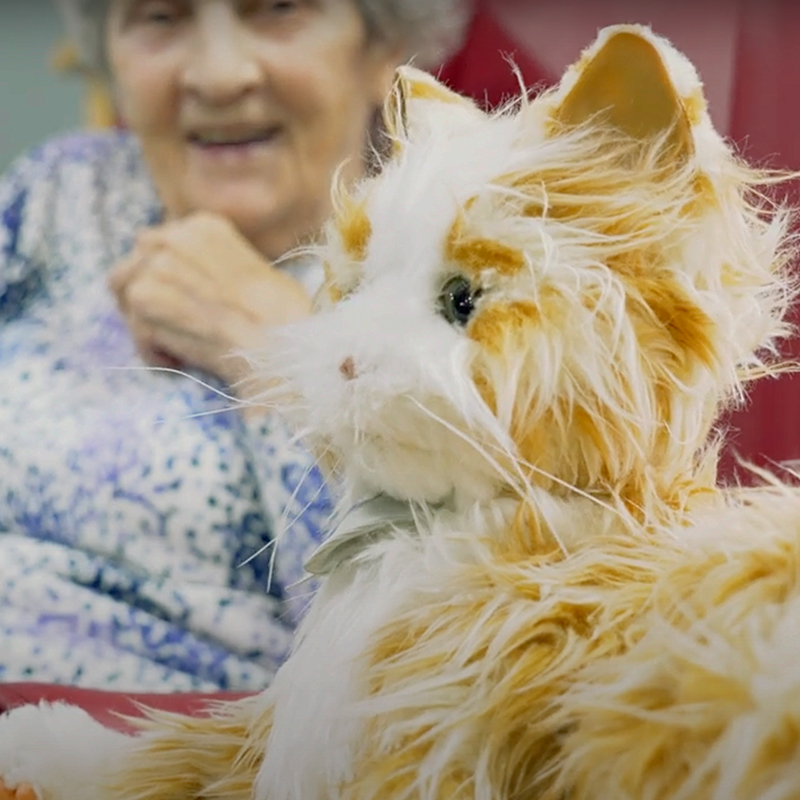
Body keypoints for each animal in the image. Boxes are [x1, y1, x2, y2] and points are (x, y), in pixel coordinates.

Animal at [1, 21, 800, 800]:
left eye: (463, 299)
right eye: (352, 290)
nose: (346, 362)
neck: (418, 533)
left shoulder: (417, 756)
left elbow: (168, 761)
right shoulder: (282, 736)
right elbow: (164, 750)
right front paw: (39, 735)